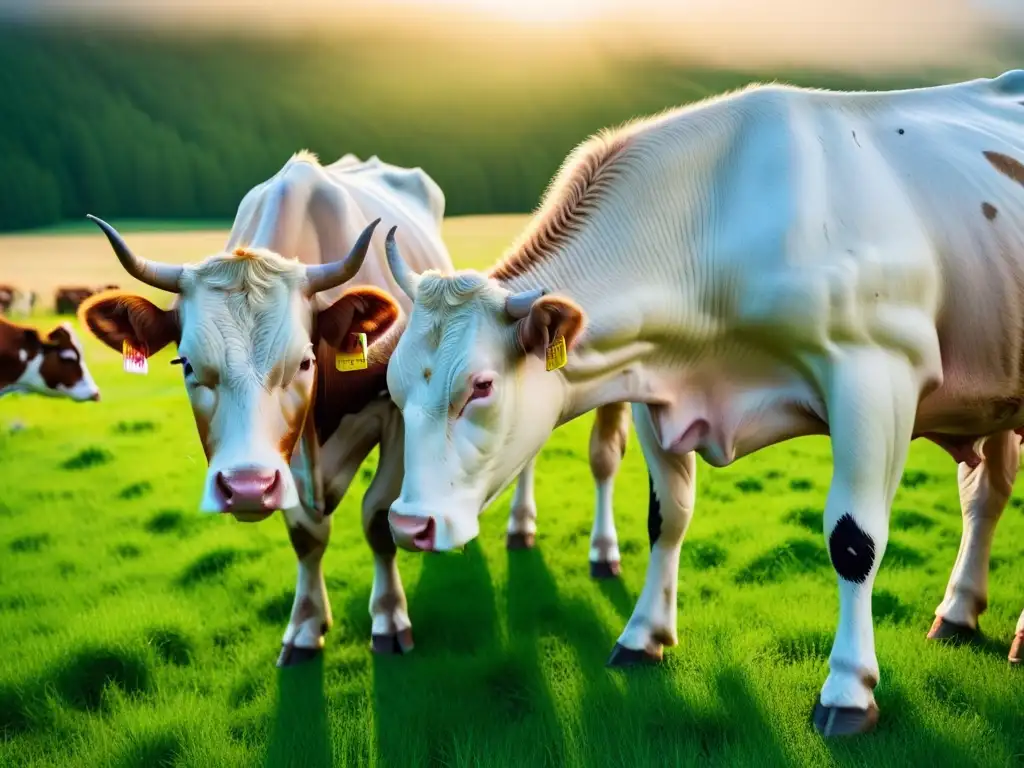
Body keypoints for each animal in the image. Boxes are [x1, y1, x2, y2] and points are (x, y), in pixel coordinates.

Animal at [376, 73, 1024, 741]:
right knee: (986, 496)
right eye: (391, 384)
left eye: (480, 386)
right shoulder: (657, 393)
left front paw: (848, 692)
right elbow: (668, 518)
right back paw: (958, 613)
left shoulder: (877, 375)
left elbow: (853, 540)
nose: (408, 524)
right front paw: (643, 637)